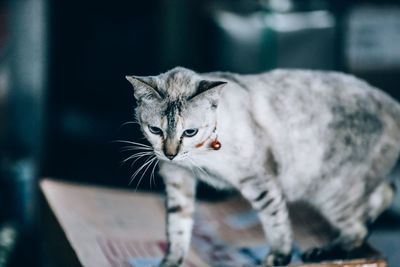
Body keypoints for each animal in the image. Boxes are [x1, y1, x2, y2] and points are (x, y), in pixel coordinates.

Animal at [126, 66, 400, 266]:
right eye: (155, 130)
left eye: (190, 132)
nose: (170, 154)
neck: (198, 157)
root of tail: (391, 103)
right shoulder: (177, 178)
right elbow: (177, 228)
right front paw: (171, 262)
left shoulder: (258, 179)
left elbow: (275, 219)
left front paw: (280, 257)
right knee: (382, 195)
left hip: (331, 192)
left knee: (359, 226)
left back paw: (319, 253)